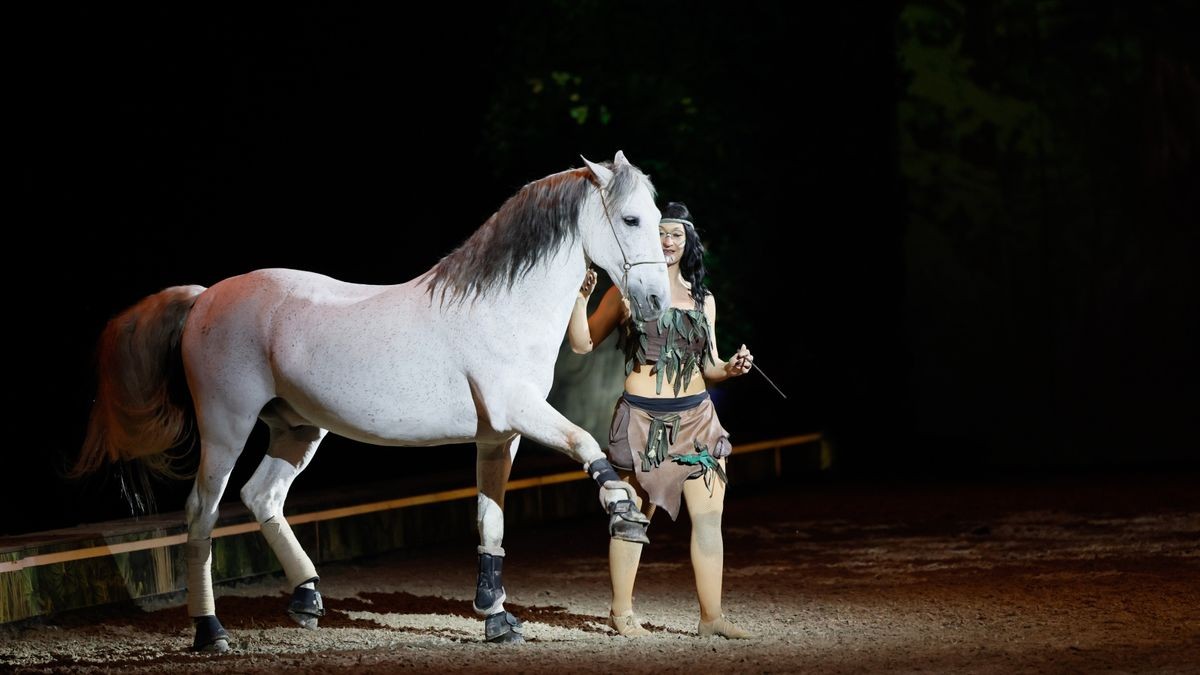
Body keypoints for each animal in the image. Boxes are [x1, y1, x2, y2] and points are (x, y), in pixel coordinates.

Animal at [73, 151, 672, 648]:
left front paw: (497, 617)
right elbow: (584, 440)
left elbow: (491, 519)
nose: (656, 301)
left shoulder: (499, 437)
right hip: (226, 426)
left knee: (262, 496)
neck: (501, 308)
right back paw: (210, 631)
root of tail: (203, 298)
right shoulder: (520, 412)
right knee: (203, 512)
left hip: (296, 428)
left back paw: (307, 598)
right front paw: (623, 510)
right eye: (631, 219)